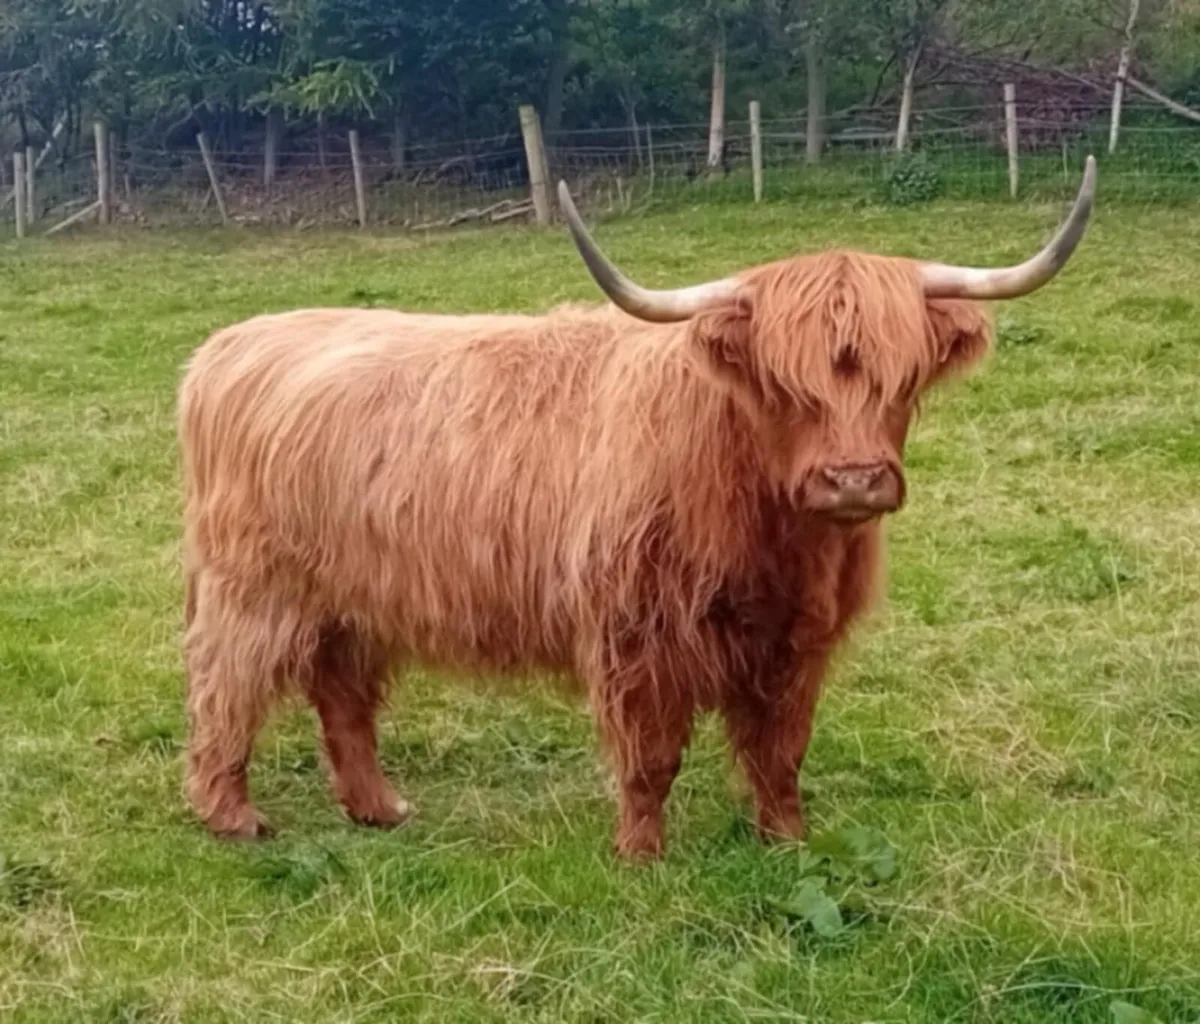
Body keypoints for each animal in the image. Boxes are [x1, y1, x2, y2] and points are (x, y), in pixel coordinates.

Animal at [178, 158, 1096, 859]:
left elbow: (781, 753)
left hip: (353, 599)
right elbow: (650, 759)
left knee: (342, 696)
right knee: (224, 691)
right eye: (783, 385)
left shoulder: (799, 643)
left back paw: (379, 808)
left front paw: (787, 842)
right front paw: (641, 855)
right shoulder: (636, 633)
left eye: (900, 379)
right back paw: (233, 817)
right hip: (254, 589)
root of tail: (229, 345)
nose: (854, 480)